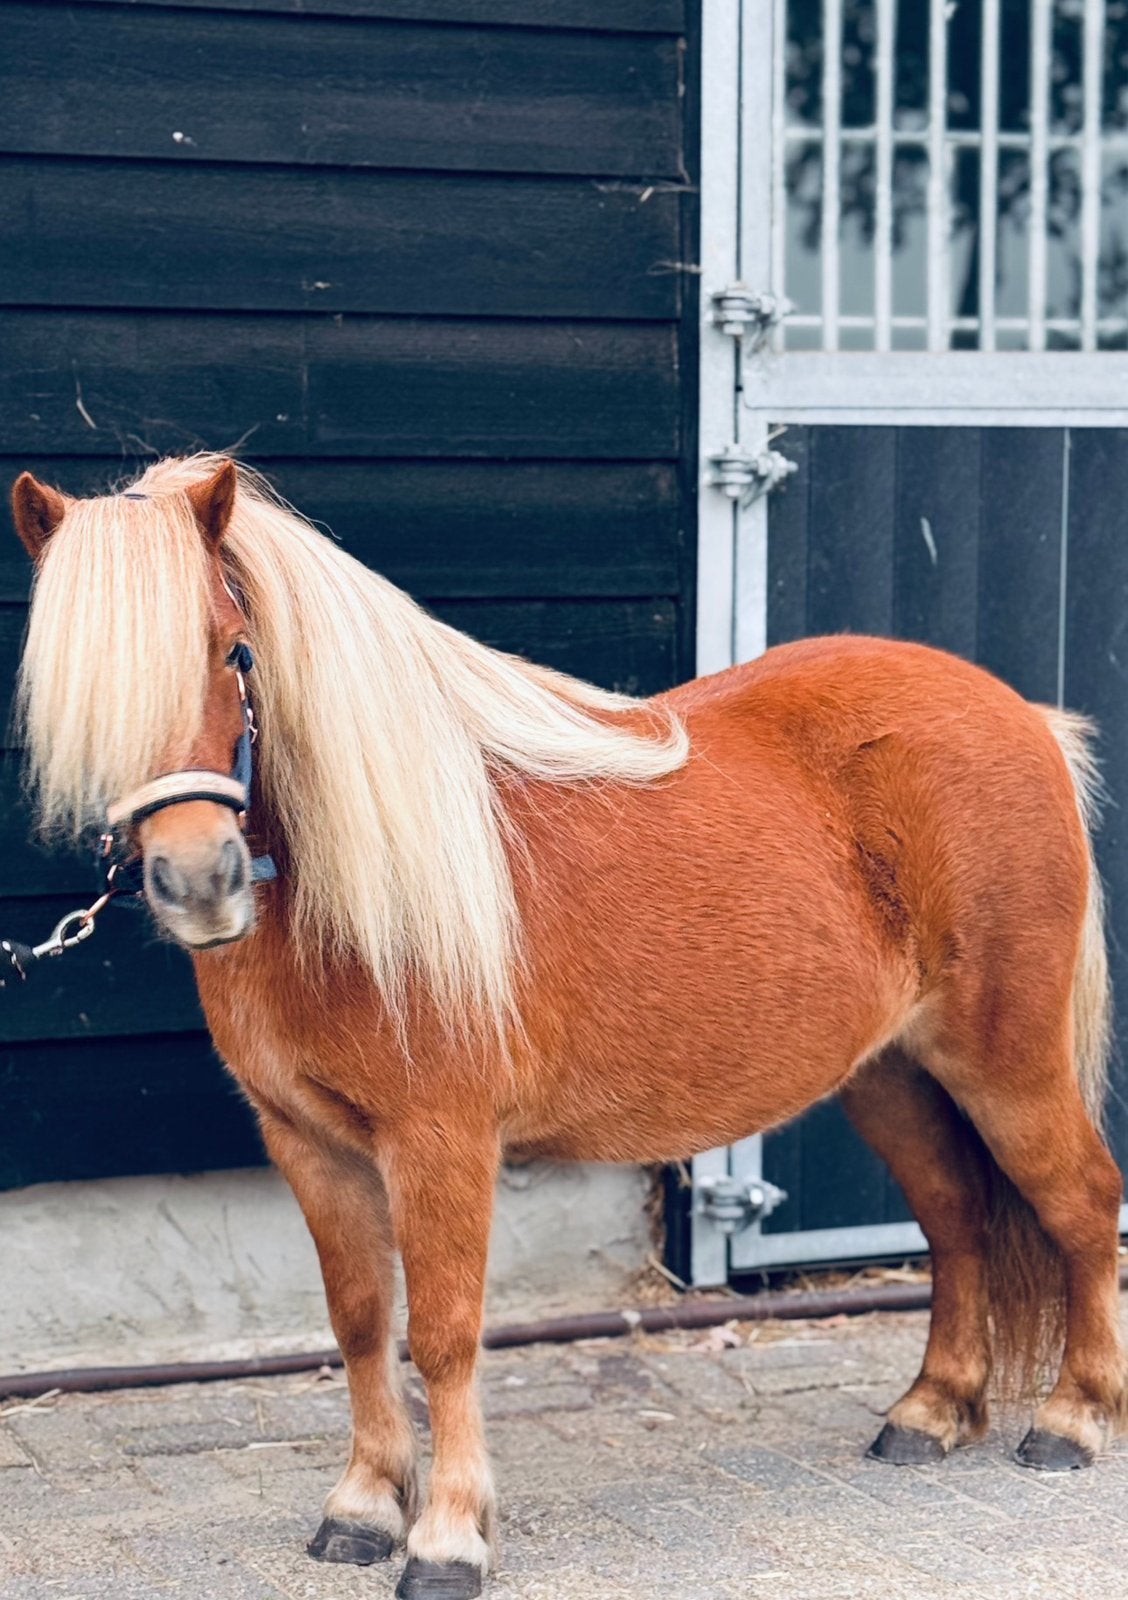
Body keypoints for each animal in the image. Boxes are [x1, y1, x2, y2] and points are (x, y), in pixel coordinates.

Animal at [10, 456, 1125, 1599]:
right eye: (74, 688)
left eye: (234, 649)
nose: (201, 881)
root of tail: (1020, 715)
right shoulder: (309, 1145)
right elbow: (361, 1322)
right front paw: (363, 1509)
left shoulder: (441, 1144)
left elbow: (444, 1335)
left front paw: (448, 1538)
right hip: (891, 1074)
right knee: (957, 1219)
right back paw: (931, 1411)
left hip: (1007, 1063)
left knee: (1083, 1205)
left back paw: (1072, 1420)